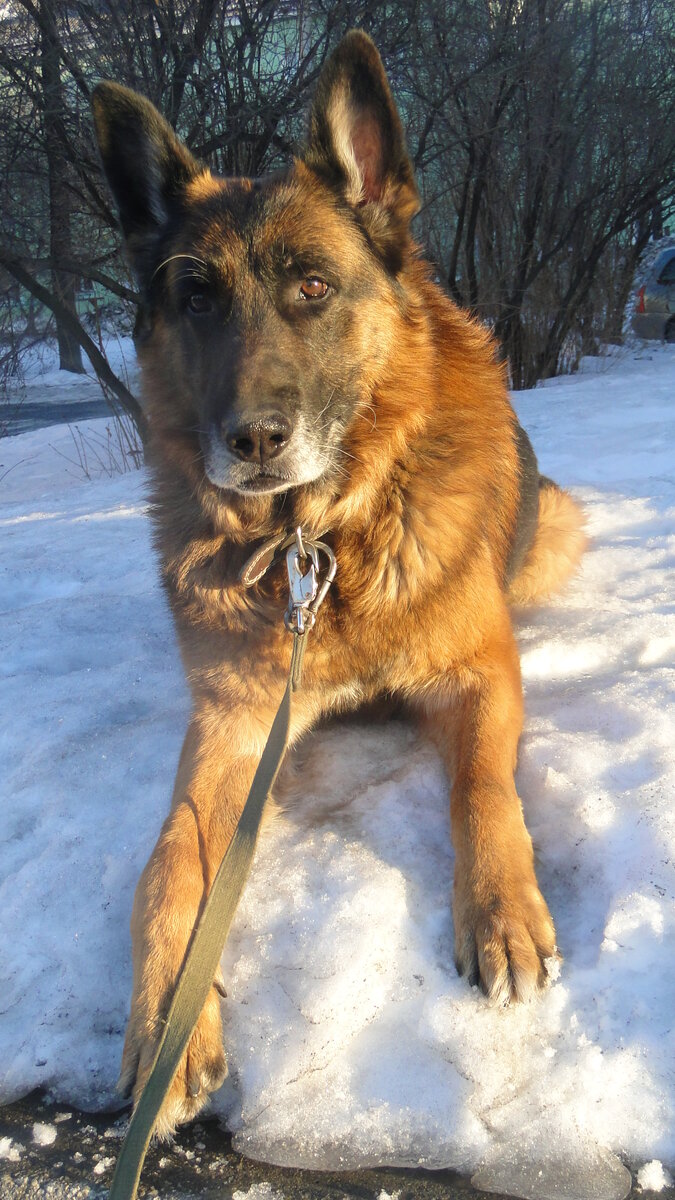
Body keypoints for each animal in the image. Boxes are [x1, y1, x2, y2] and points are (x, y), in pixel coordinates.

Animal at [90, 28, 583, 1132]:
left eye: (313, 287)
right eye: (195, 297)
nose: (252, 443)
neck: (318, 540)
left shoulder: (480, 674)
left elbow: (483, 788)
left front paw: (501, 913)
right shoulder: (232, 726)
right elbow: (169, 862)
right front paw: (164, 1018)